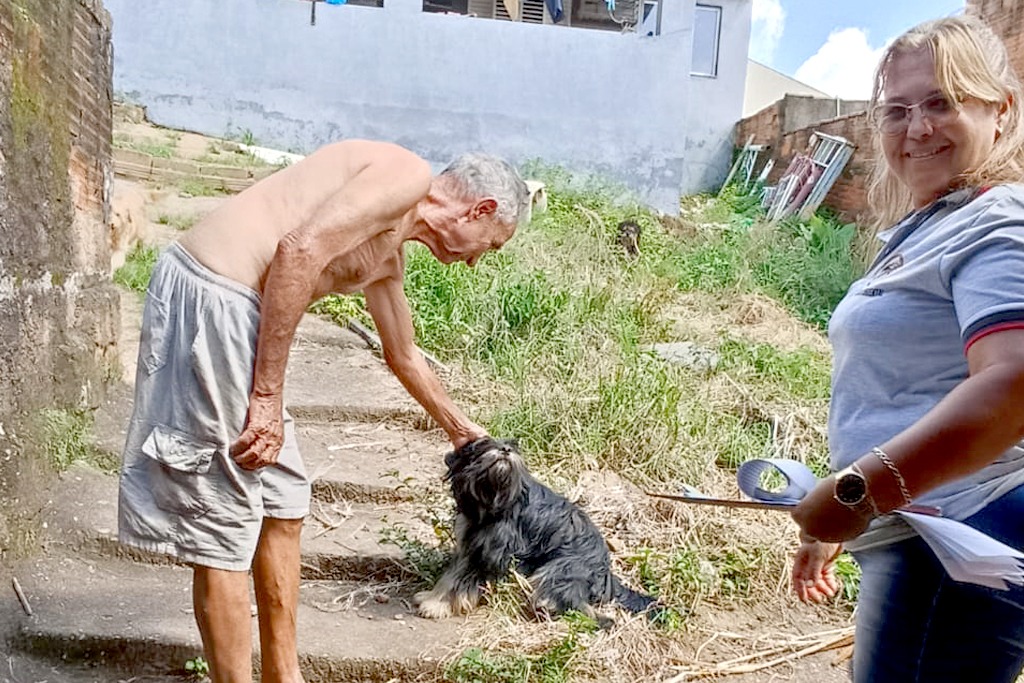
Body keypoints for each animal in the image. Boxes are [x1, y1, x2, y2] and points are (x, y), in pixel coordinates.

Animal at [413, 438, 655, 618]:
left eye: (513, 445)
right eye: (484, 444)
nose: (505, 449)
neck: (494, 498)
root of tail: (606, 572)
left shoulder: (489, 554)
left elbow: (460, 581)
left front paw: (436, 606)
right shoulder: (471, 547)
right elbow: (452, 575)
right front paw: (431, 597)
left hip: (559, 569)